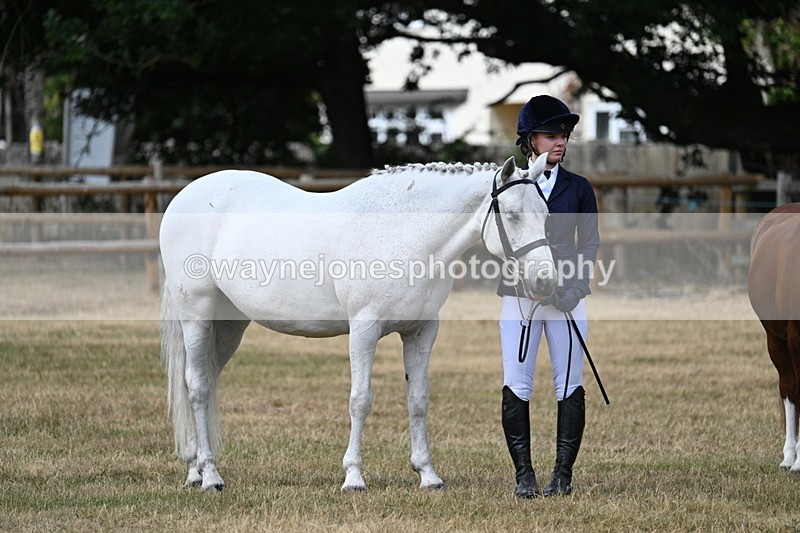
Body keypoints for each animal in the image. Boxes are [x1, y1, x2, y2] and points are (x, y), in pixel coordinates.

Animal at [159, 153, 556, 492]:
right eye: (513, 214)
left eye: (546, 214)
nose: (545, 282)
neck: (404, 233)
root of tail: (184, 196)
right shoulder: (364, 330)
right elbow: (360, 400)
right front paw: (353, 477)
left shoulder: (421, 331)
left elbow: (418, 400)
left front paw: (427, 474)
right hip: (196, 316)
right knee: (197, 386)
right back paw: (211, 475)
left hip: (229, 325)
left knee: (205, 380)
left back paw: (195, 470)